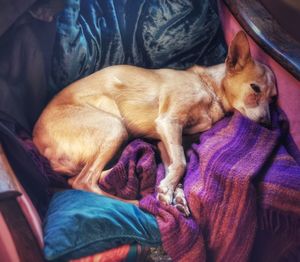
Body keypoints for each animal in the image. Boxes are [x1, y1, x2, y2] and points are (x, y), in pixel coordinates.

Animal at [32, 31, 276, 215]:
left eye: (273, 98)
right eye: (255, 88)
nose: (267, 123)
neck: (209, 88)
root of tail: (38, 143)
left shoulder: (164, 141)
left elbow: (175, 168)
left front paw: (175, 195)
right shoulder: (168, 122)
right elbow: (182, 163)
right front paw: (166, 191)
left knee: (86, 177)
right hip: (115, 128)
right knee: (83, 182)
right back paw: (136, 204)